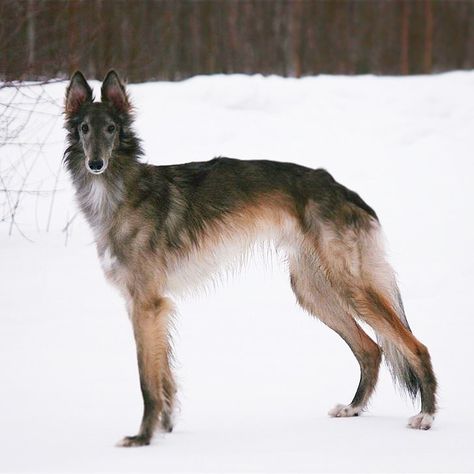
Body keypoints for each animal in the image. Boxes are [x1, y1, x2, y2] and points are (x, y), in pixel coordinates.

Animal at [63, 69, 436, 444]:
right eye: (84, 128)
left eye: (111, 128)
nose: (96, 163)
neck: (121, 192)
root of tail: (343, 191)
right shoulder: (144, 304)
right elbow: (163, 374)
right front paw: (164, 427)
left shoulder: (146, 303)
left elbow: (147, 378)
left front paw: (142, 438)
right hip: (312, 289)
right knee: (371, 349)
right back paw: (353, 407)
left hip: (349, 284)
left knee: (415, 345)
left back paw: (427, 414)